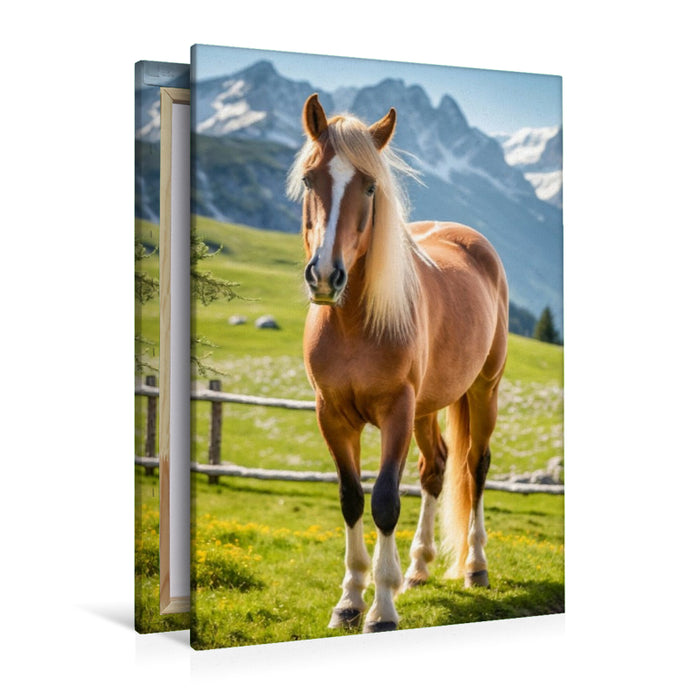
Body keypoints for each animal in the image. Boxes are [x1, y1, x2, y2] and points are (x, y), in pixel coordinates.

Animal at [287, 94, 509, 633]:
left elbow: (385, 500)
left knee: (474, 467)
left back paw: (474, 567)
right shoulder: (332, 415)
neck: (353, 325)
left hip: (483, 391)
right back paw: (419, 568)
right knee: (436, 469)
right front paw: (349, 600)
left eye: (369, 186)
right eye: (310, 179)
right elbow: (351, 498)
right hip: (430, 407)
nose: (325, 276)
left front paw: (382, 610)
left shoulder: (396, 412)